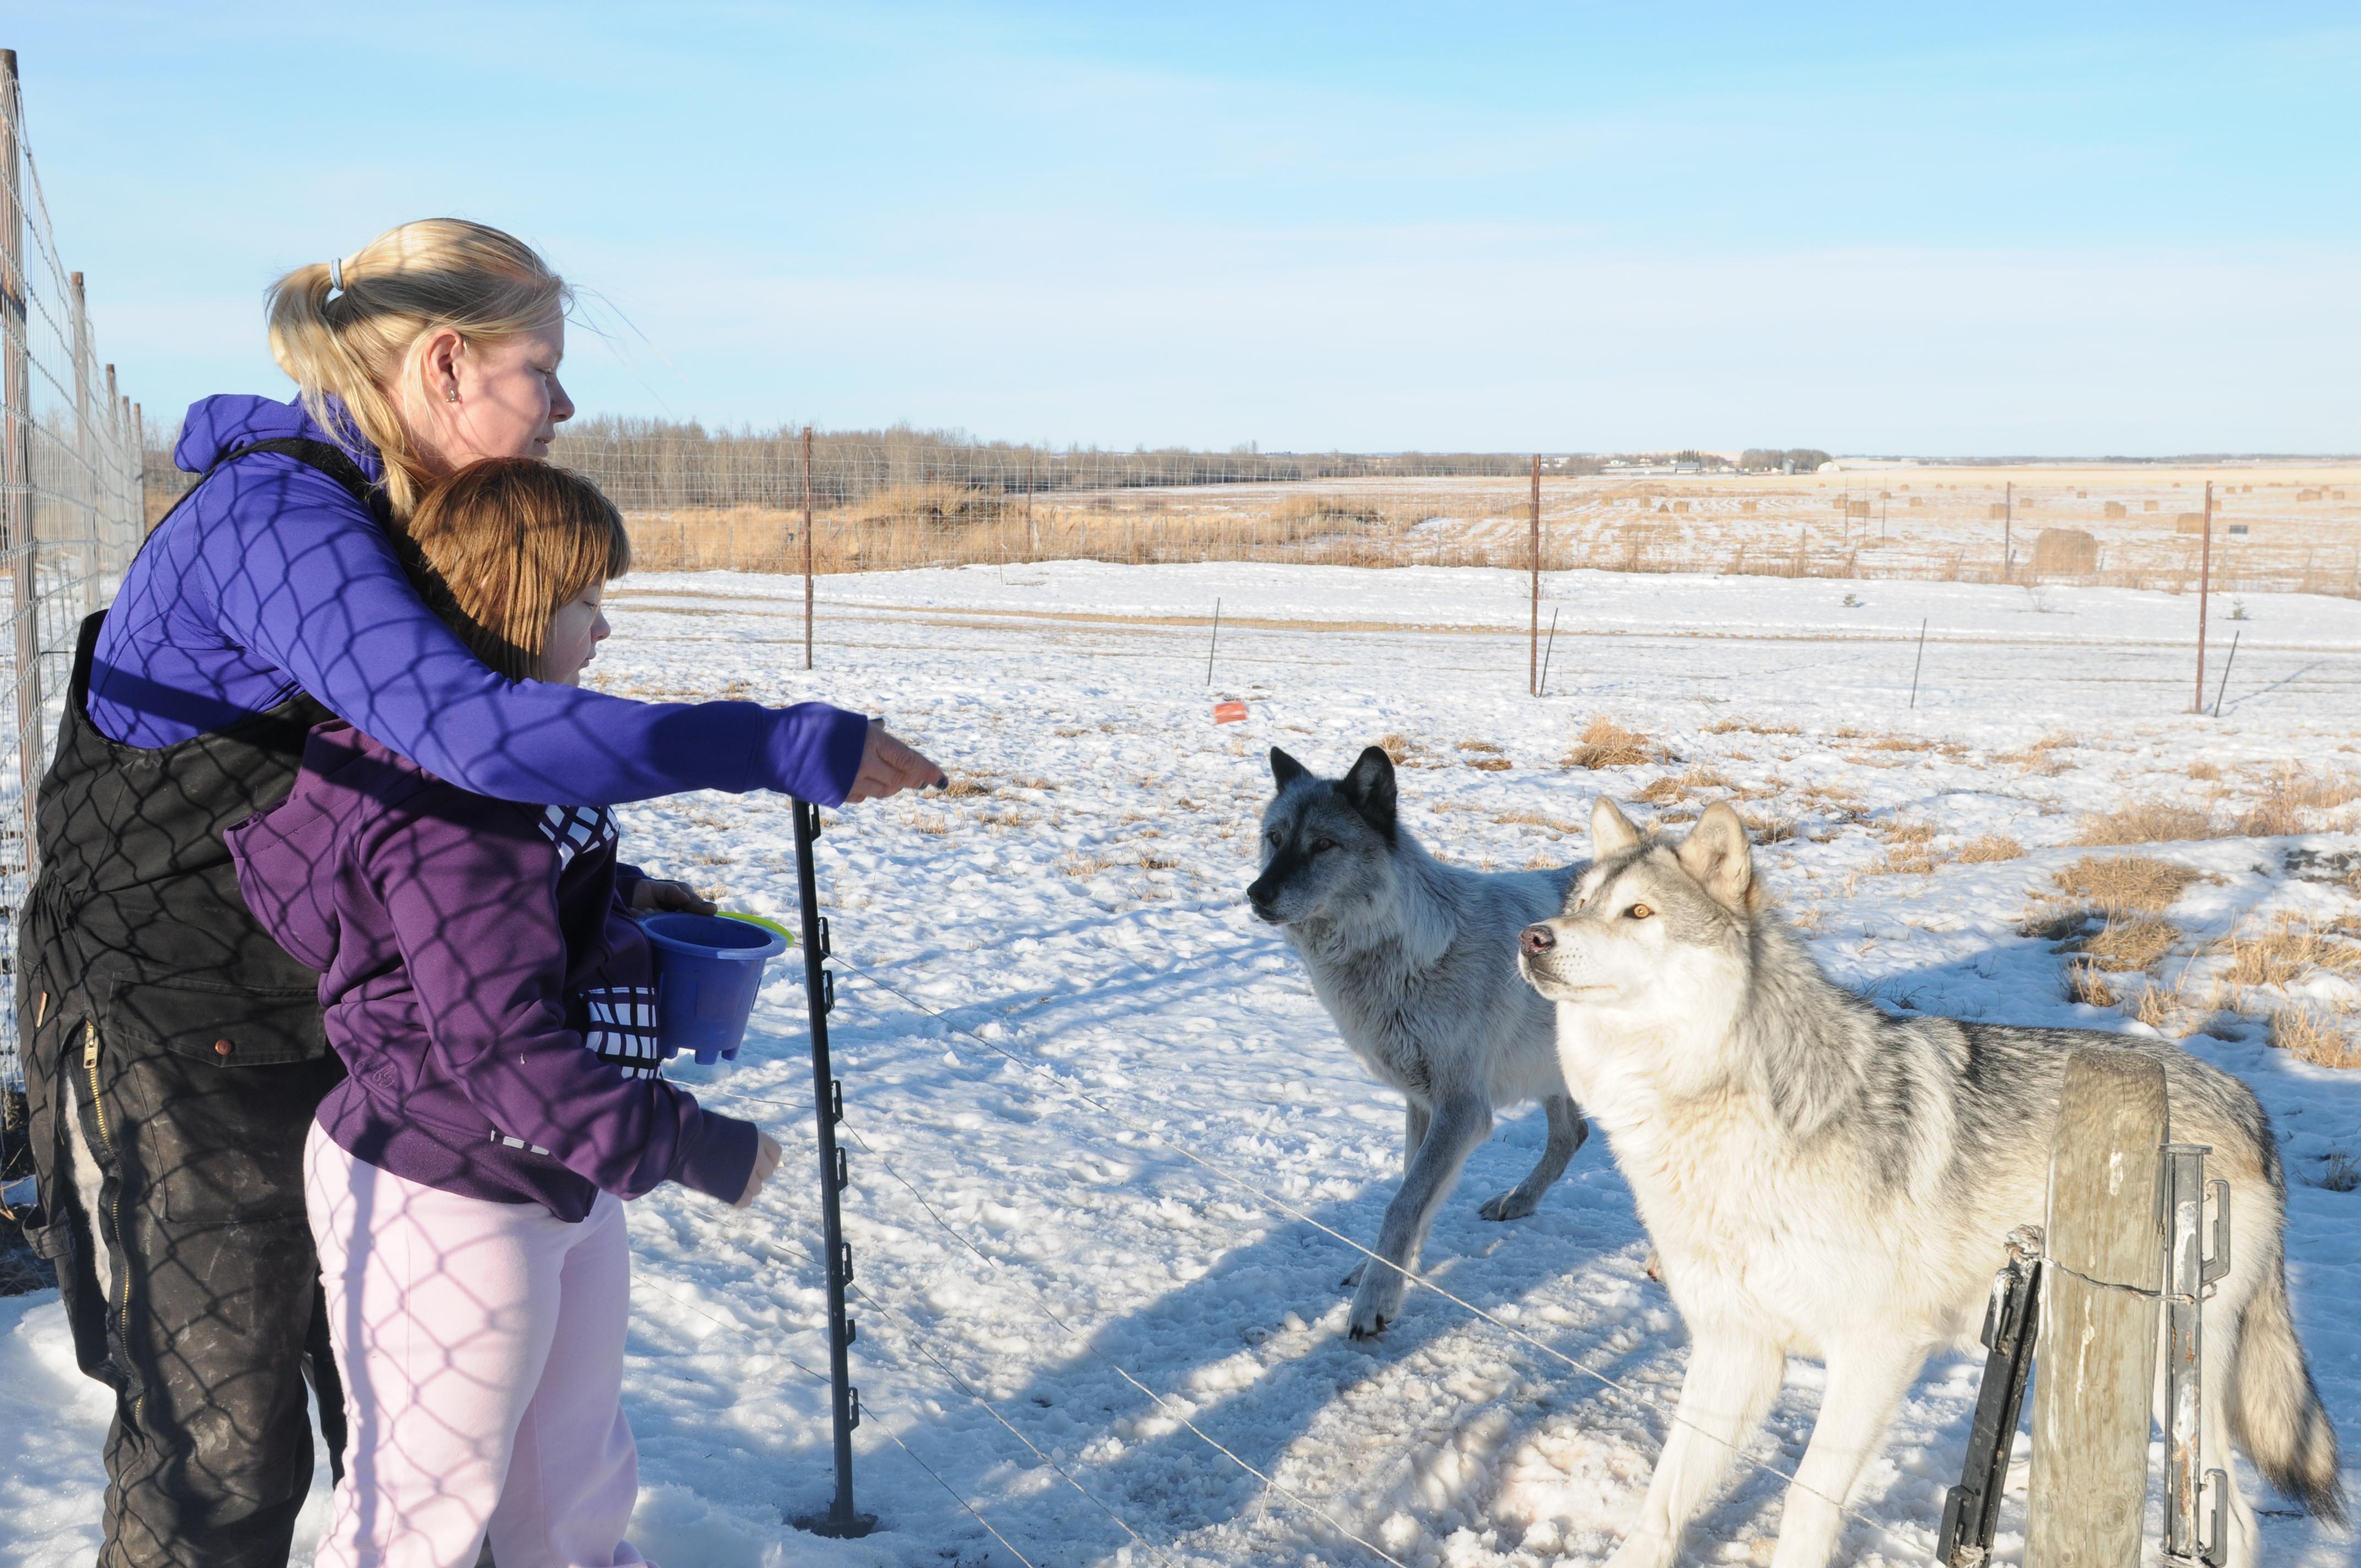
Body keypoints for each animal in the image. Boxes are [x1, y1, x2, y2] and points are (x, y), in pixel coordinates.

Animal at [1247, 746, 1596, 1332]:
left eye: (1323, 845)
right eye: (1275, 838)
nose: (1256, 894)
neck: (1404, 954)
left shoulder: (1462, 1110)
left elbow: (1402, 1205)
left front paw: (1373, 1304)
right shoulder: (1422, 1103)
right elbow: (1413, 1193)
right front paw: (1386, 1276)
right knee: (1573, 1134)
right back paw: (1517, 1202)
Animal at [1511, 803, 2342, 1558]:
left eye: (1638, 912)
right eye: (1579, 905)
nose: (1534, 937)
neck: (1710, 1109)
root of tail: (2248, 1102)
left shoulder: (1877, 1353)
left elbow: (1805, 1502)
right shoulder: (1735, 1349)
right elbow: (1662, 1501)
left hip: (2173, 1377)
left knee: (2230, 1520)